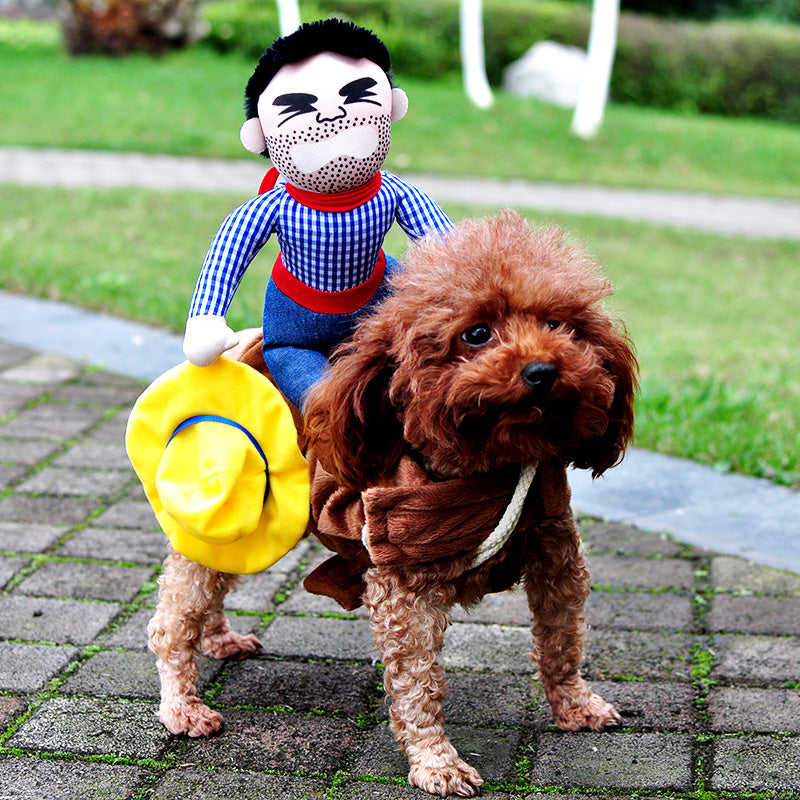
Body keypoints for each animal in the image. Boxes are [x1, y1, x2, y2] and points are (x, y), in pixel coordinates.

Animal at [147, 209, 636, 796]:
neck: (489, 467)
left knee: (215, 583)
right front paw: (437, 763)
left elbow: (562, 639)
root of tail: (232, 352)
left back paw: (219, 640)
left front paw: (575, 706)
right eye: (476, 334)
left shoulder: (555, 552)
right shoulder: (405, 587)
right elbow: (418, 686)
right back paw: (183, 705)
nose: (543, 371)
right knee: (173, 617)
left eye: (561, 326)